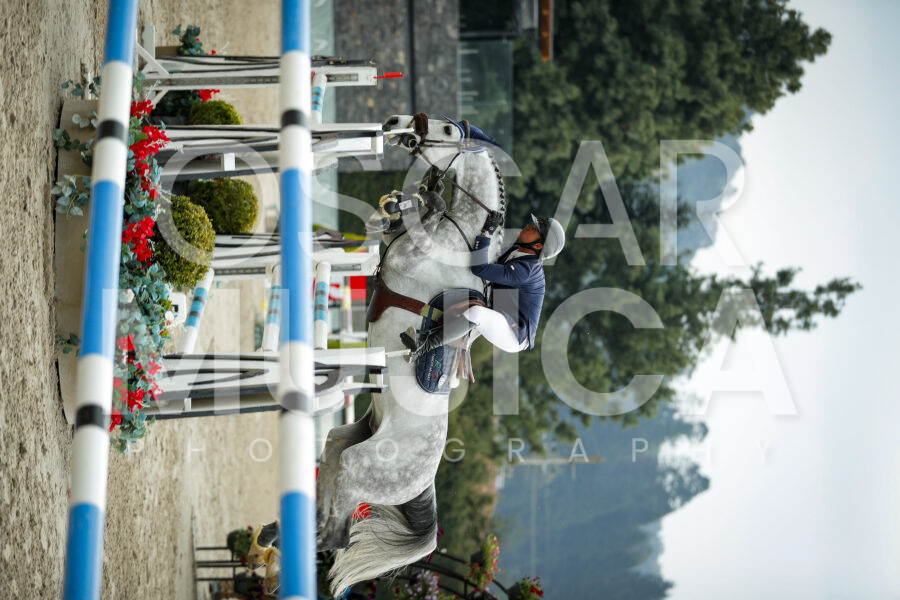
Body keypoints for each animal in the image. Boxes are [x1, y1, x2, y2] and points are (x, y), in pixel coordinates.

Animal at [317, 114, 508, 594]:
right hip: (350, 439)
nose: (395, 122)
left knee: (338, 533)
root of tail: (424, 481)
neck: (459, 237)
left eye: (446, 129)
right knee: (330, 475)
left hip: (362, 468)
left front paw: (425, 199)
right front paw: (417, 199)